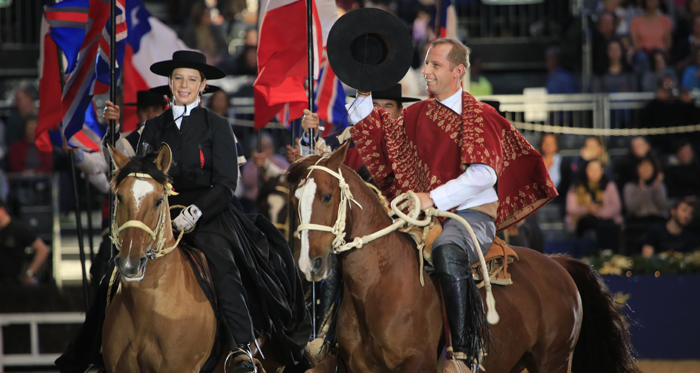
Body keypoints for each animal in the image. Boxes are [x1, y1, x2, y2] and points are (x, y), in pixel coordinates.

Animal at [286, 144, 640, 372]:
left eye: (327, 195)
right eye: (295, 199)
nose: (308, 264)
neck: (380, 285)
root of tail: (558, 265)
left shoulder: (416, 364)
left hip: (553, 361)